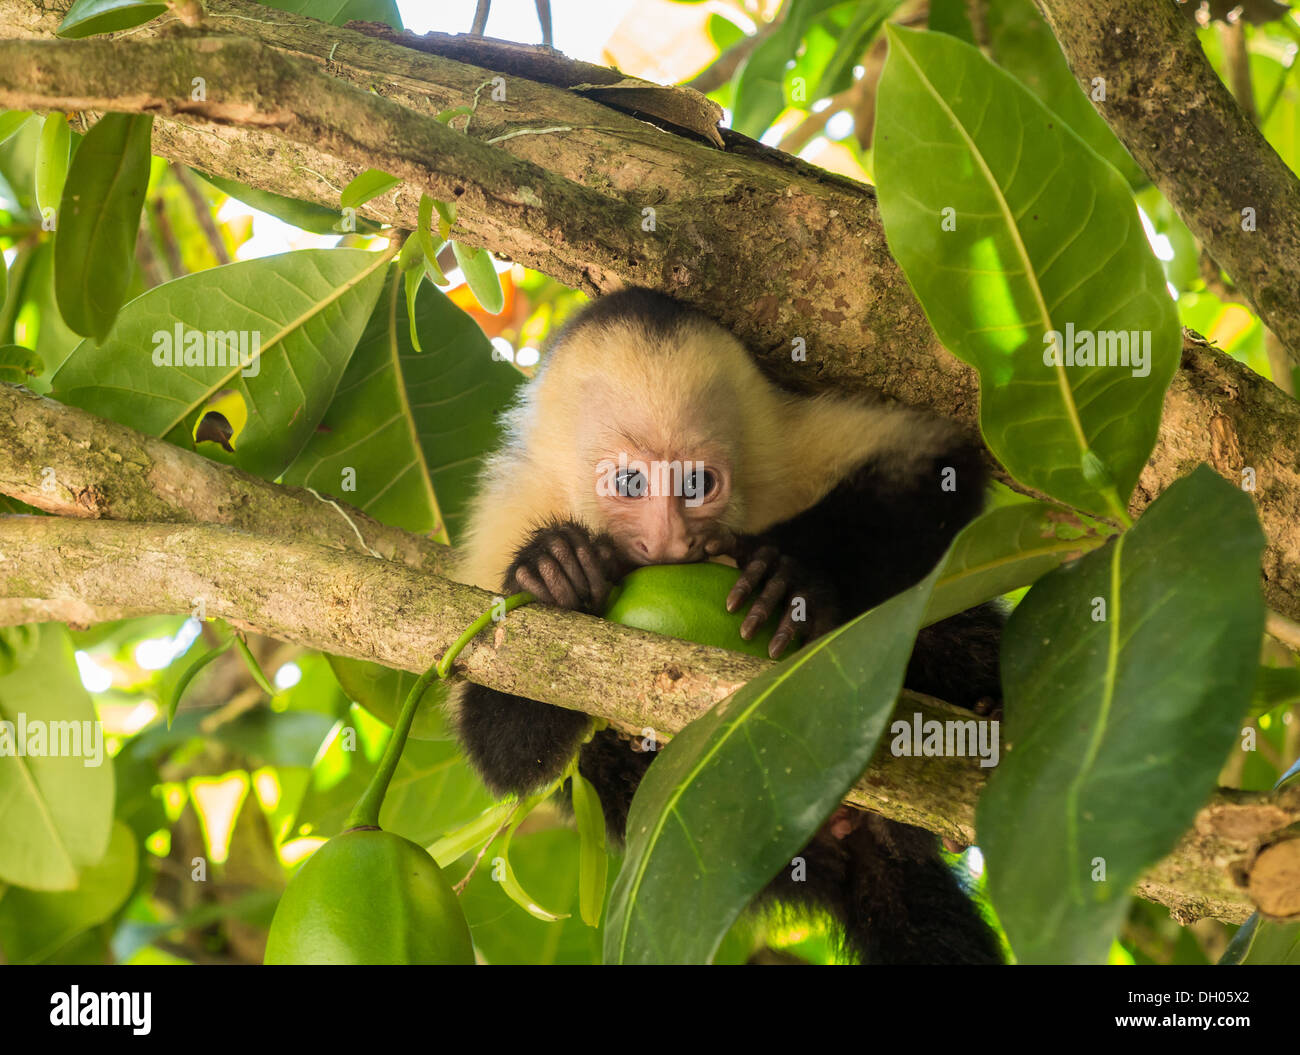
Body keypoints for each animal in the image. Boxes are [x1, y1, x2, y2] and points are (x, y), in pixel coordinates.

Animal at [454, 288, 1003, 966]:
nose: (670, 543)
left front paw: (788, 575)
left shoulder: (786, 442)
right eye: (630, 482)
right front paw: (553, 570)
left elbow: (937, 465)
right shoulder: (509, 512)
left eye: (698, 483)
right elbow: (500, 750)